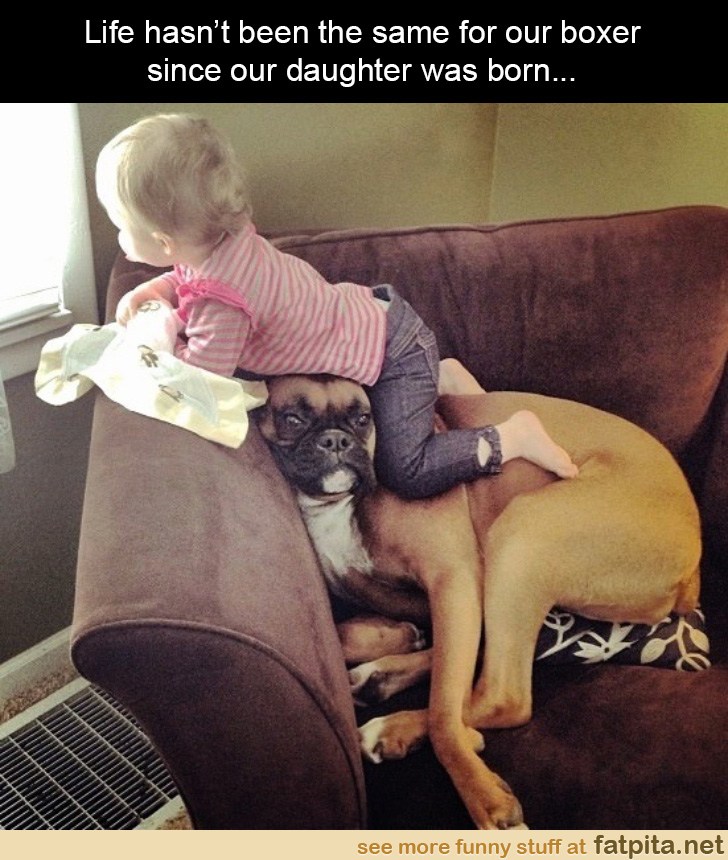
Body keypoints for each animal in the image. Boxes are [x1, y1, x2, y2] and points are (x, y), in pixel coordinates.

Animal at [256, 371, 701, 830]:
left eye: (363, 418)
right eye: (291, 419)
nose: (335, 440)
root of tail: (692, 560)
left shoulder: (453, 581)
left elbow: (443, 709)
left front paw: (481, 791)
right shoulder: (408, 594)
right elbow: (351, 634)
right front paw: (394, 638)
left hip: (522, 533)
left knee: (500, 697)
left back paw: (397, 727)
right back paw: (381, 679)